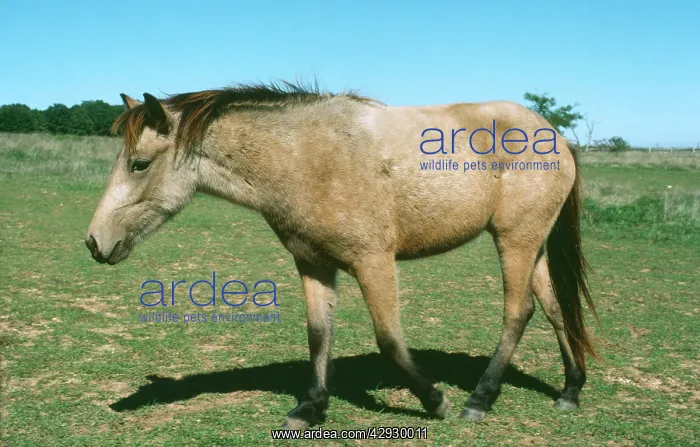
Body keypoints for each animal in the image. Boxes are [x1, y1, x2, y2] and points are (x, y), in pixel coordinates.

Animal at [85, 81, 597, 429]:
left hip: (515, 239)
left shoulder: (374, 261)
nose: (94, 242)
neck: (308, 158)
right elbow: (318, 333)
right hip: (530, 244)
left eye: (139, 164)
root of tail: (553, 134)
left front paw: (434, 400)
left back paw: (479, 399)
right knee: (554, 309)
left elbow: (388, 338)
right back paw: (571, 390)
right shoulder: (313, 263)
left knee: (518, 311)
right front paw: (311, 406)